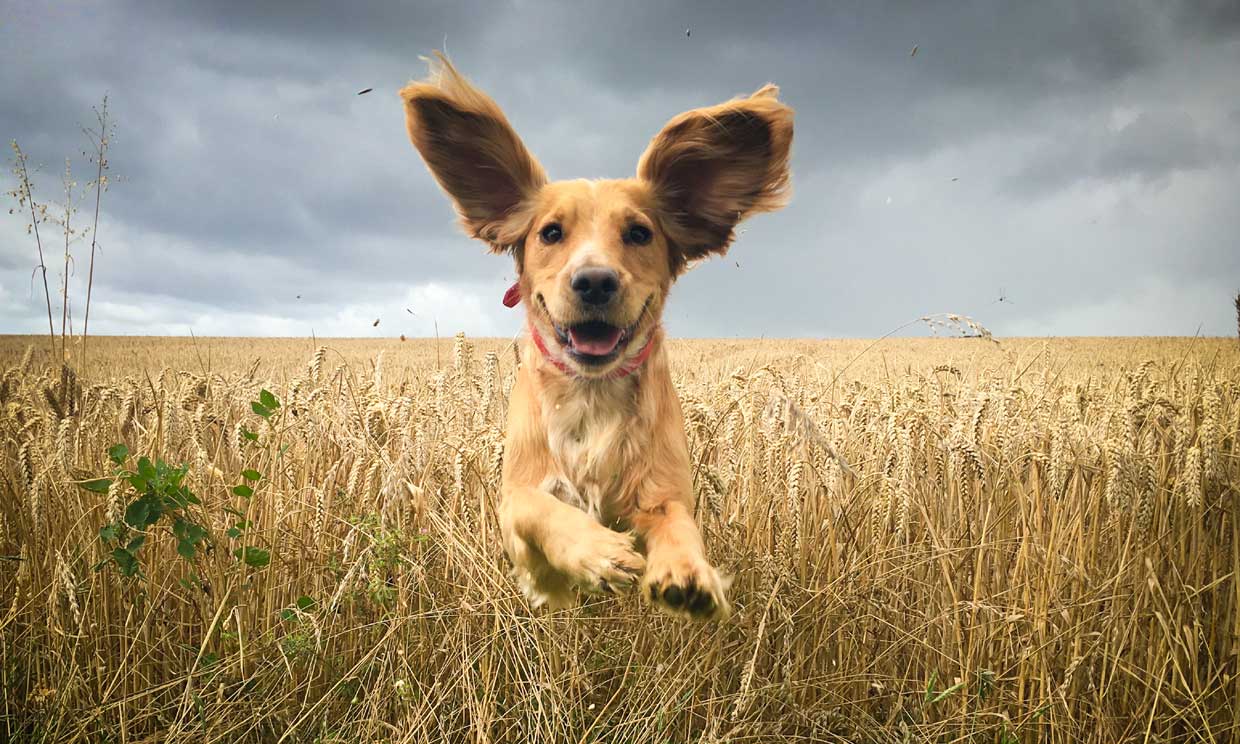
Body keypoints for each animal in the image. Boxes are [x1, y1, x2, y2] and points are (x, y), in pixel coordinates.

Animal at [401, 55, 798, 620]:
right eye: (550, 232)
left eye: (639, 233)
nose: (594, 281)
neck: (592, 395)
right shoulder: (515, 499)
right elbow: (540, 509)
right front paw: (597, 553)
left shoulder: (665, 490)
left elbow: (679, 526)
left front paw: (687, 574)